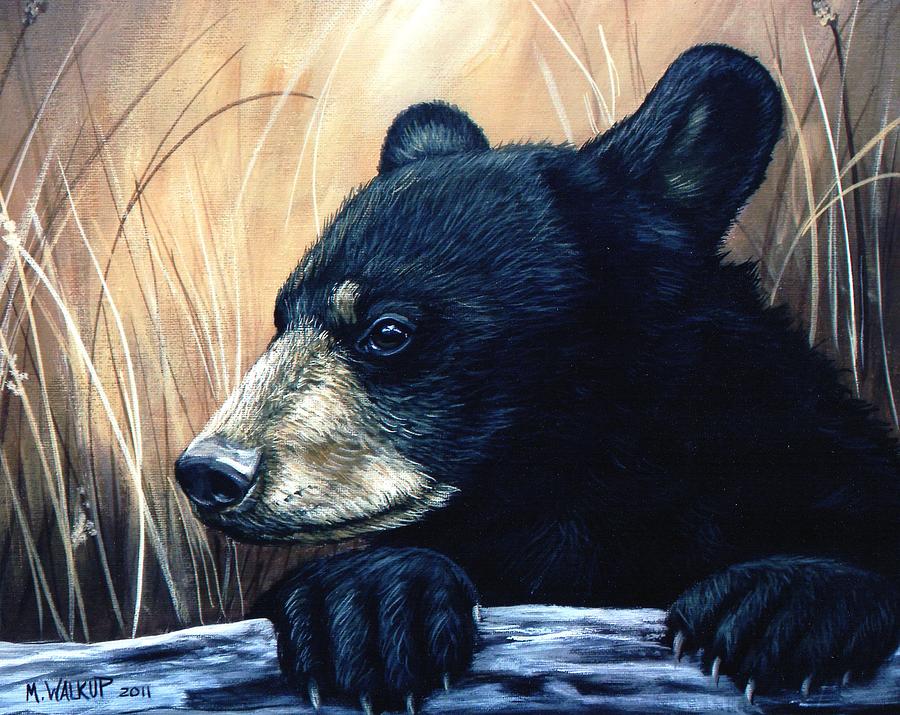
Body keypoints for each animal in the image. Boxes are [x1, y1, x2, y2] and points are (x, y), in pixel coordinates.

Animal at [174, 44, 900, 713]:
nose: (209, 471)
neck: (570, 490)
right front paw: (368, 607)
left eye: (387, 330)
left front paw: (785, 602)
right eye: (282, 318)